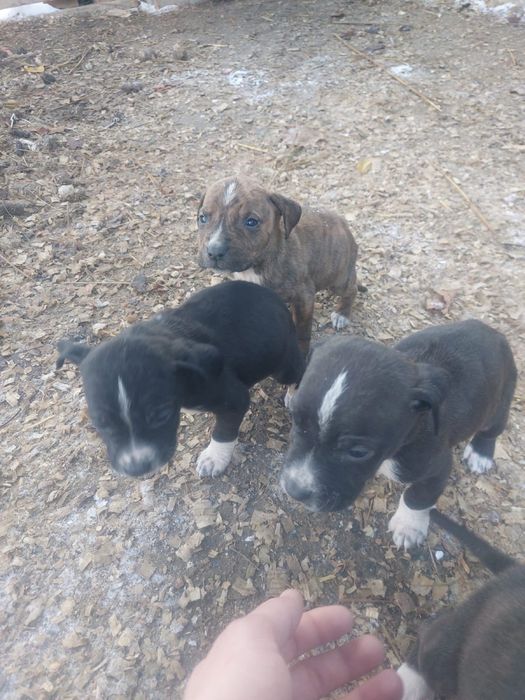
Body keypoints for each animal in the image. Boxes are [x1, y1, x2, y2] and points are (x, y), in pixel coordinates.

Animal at [56, 281, 304, 478]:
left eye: (161, 416)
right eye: (100, 422)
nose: (137, 468)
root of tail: (274, 297)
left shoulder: (234, 398)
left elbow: (223, 431)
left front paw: (214, 458)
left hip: (283, 363)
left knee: (299, 369)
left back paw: (294, 395)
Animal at [196, 176, 359, 353]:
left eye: (251, 222)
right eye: (203, 218)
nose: (214, 251)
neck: (257, 266)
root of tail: (343, 224)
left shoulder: (304, 297)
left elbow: (302, 331)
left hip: (338, 279)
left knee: (352, 289)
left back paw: (342, 313)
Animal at [279, 319, 516, 548]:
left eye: (358, 452)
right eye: (295, 420)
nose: (295, 490)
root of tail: (496, 334)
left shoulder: (436, 467)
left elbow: (417, 496)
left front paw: (409, 527)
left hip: (498, 405)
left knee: (491, 430)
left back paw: (480, 454)